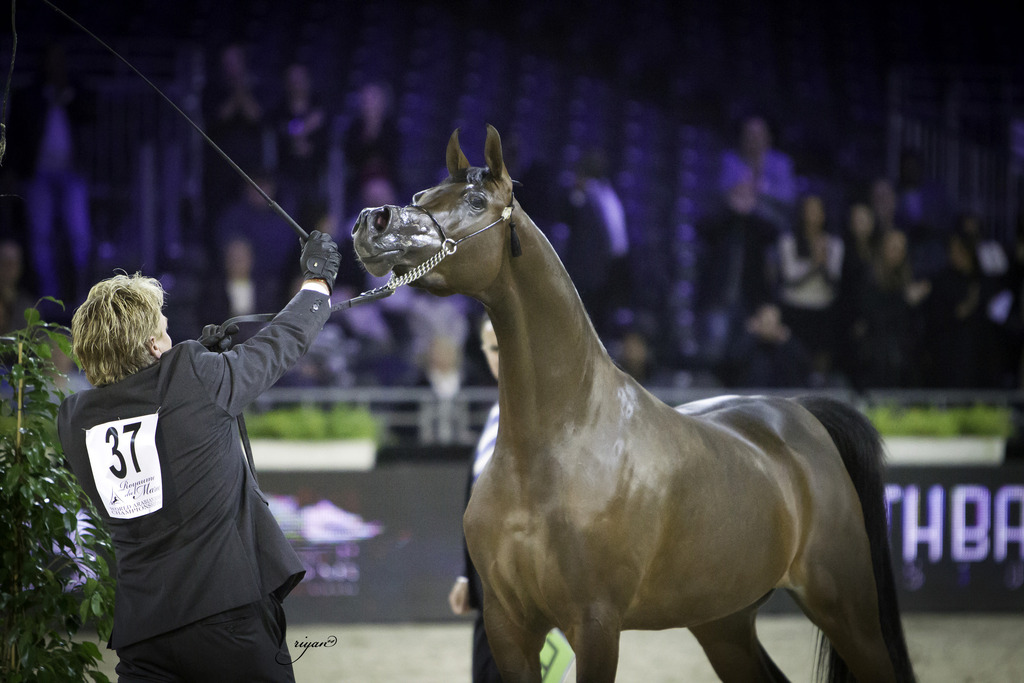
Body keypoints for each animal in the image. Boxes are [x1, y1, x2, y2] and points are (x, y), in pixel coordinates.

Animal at [352, 125, 915, 683]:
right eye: (421, 196)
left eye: (474, 201)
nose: (373, 222)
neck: (556, 443)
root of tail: (803, 415)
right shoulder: (508, 625)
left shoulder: (596, 623)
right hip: (724, 621)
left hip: (846, 608)